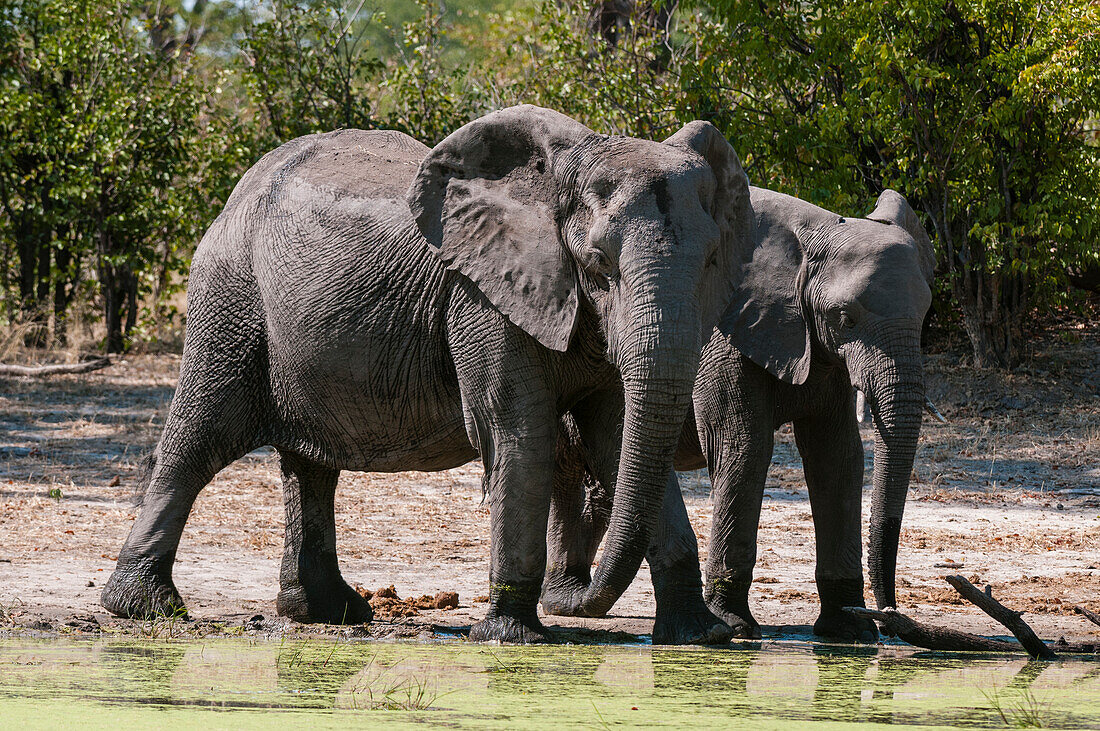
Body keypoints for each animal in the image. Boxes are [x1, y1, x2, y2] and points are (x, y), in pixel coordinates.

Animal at [101, 105, 756, 641]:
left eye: (711, 262)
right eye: (597, 264)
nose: (578, 596)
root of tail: (239, 189)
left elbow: (619, 439)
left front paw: (699, 637)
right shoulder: (482, 297)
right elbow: (520, 430)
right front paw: (512, 636)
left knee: (311, 465)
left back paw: (329, 612)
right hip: (231, 298)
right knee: (200, 438)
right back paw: (146, 609)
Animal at [545, 186, 932, 637]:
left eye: (925, 315)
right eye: (845, 318)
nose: (890, 619)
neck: (809, 237)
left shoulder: (823, 353)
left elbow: (837, 458)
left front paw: (850, 632)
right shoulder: (724, 340)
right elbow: (744, 449)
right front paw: (735, 625)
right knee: (562, 466)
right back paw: (562, 598)